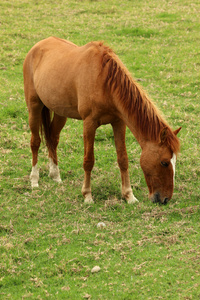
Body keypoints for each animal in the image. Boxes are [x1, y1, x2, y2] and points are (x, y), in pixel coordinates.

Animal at [23, 37, 181, 204]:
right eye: (164, 162)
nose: (165, 199)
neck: (104, 82)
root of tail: (37, 46)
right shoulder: (89, 123)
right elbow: (88, 161)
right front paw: (87, 196)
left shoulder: (119, 123)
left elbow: (123, 159)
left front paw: (129, 196)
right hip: (34, 107)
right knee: (35, 142)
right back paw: (34, 180)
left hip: (60, 113)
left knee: (52, 138)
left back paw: (55, 176)